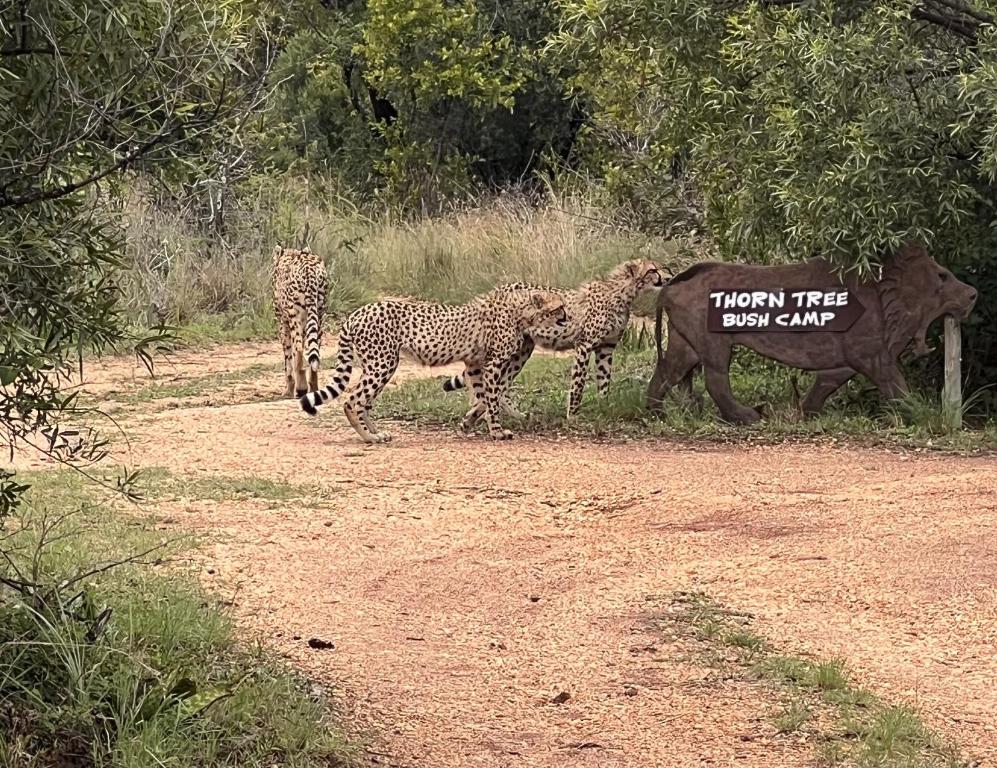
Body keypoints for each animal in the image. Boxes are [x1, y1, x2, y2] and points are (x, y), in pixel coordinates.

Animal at [270, 246, 328, 400]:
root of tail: (309, 268)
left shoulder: (283, 323)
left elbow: (288, 359)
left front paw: (288, 389)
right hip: (318, 315)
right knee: (314, 353)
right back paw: (313, 387)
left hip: (294, 317)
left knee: (299, 351)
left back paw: (301, 388)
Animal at [298, 286, 568, 444]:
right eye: (560, 307)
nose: (568, 317)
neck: (520, 311)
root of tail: (358, 312)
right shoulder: (492, 364)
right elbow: (492, 399)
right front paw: (497, 431)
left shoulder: (475, 364)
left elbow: (482, 397)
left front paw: (468, 422)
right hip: (383, 363)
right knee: (353, 400)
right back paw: (369, 437)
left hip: (379, 364)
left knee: (364, 402)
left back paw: (376, 433)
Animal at [446, 260, 664, 424]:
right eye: (652, 269)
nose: (667, 275)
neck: (622, 292)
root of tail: (498, 290)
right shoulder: (584, 345)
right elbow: (578, 384)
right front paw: (573, 416)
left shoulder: (606, 348)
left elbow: (604, 382)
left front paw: (605, 408)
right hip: (509, 349)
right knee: (494, 384)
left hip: (522, 350)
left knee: (500, 385)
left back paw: (503, 414)